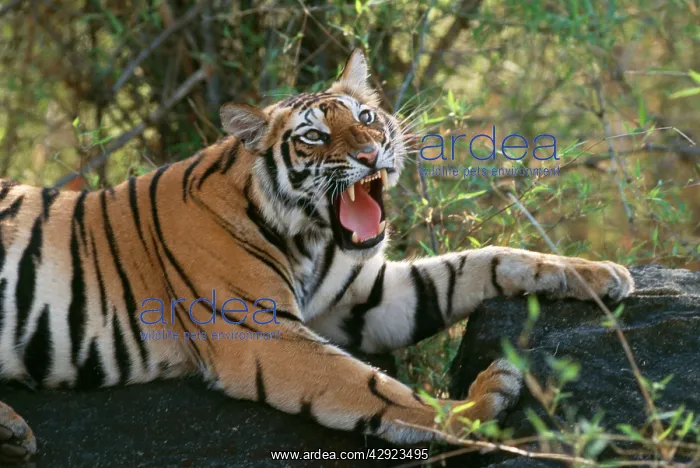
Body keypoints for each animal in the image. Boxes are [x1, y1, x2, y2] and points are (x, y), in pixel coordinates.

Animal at [0, 48, 634, 464]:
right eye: (313, 137)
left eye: (366, 116)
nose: (373, 151)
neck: (308, 237)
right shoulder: (265, 336)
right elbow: (376, 389)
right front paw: (483, 401)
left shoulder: (363, 300)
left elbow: (482, 262)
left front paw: (598, 273)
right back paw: (14, 430)